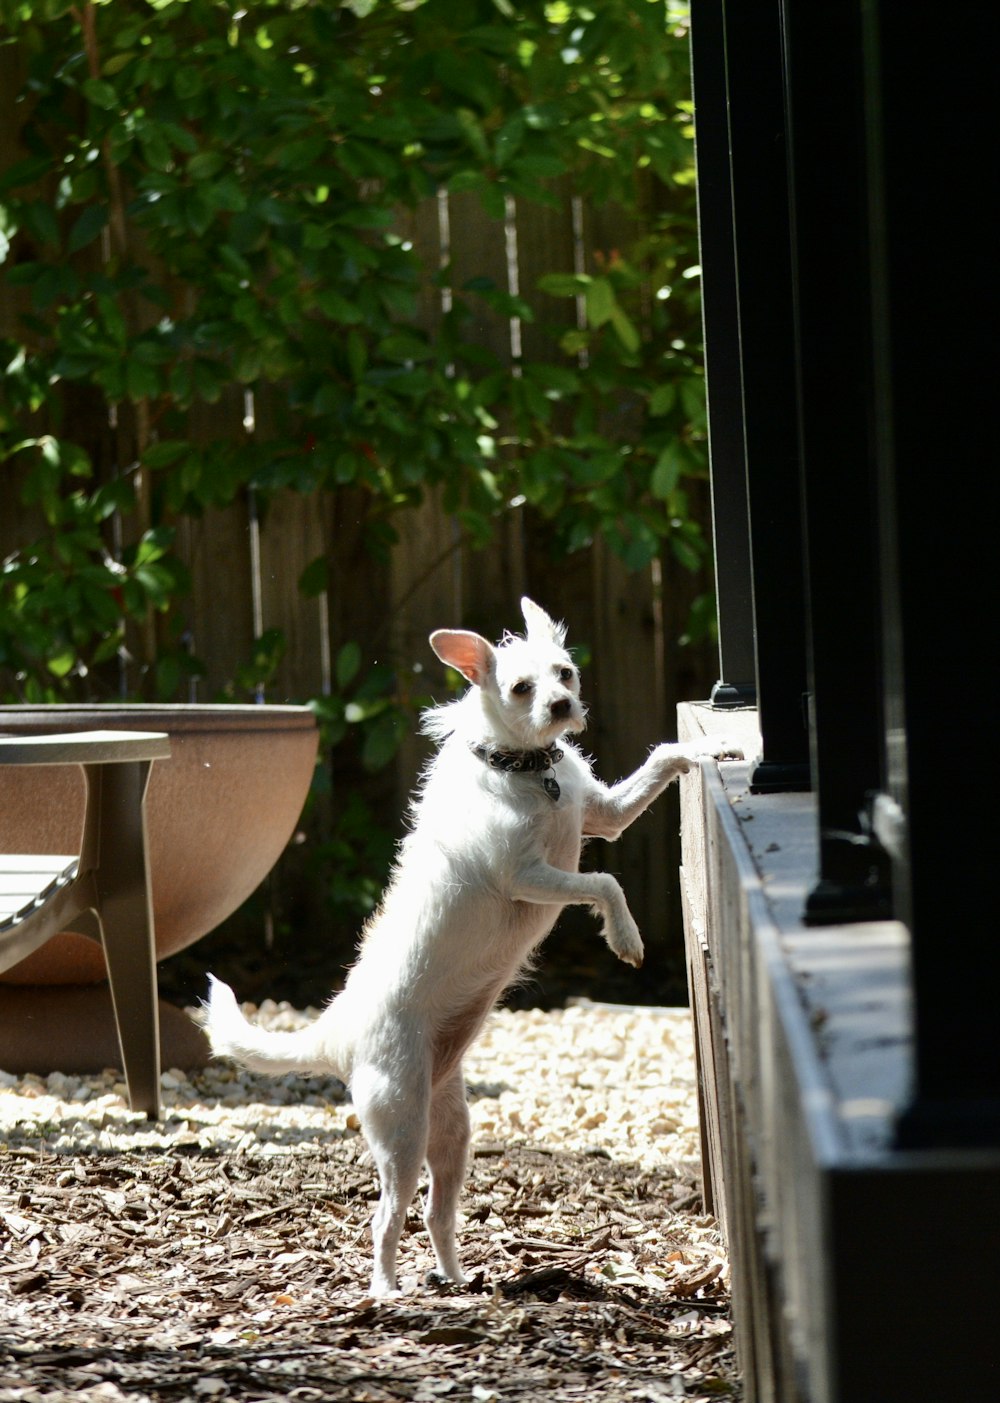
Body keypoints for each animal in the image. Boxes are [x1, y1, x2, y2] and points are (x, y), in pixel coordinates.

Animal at [203, 597, 734, 1296]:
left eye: (566, 673)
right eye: (521, 689)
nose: (563, 707)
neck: (528, 770)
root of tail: (334, 1031)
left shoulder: (606, 816)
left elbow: (661, 760)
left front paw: (711, 748)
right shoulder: (529, 878)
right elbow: (605, 882)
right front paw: (626, 936)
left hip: (450, 1131)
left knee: (436, 1212)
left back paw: (455, 1280)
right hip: (401, 1130)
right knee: (385, 1217)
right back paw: (386, 1292)